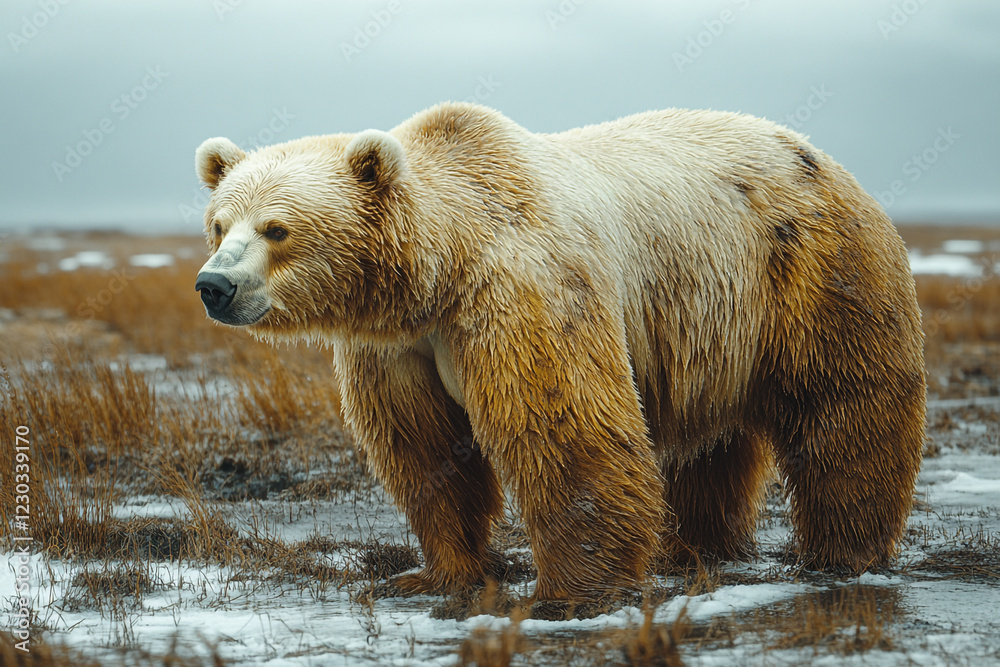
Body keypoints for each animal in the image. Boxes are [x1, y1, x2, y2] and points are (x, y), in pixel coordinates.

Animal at [193, 102, 926, 610]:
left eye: (277, 228)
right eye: (219, 223)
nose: (214, 284)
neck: (441, 272)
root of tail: (820, 156)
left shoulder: (524, 290)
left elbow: (563, 429)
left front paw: (575, 591)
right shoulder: (397, 349)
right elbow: (424, 452)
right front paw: (436, 572)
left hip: (810, 272)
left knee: (844, 407)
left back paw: (843, 550)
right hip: (708, 325)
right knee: (708, 449)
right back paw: (699, 547)